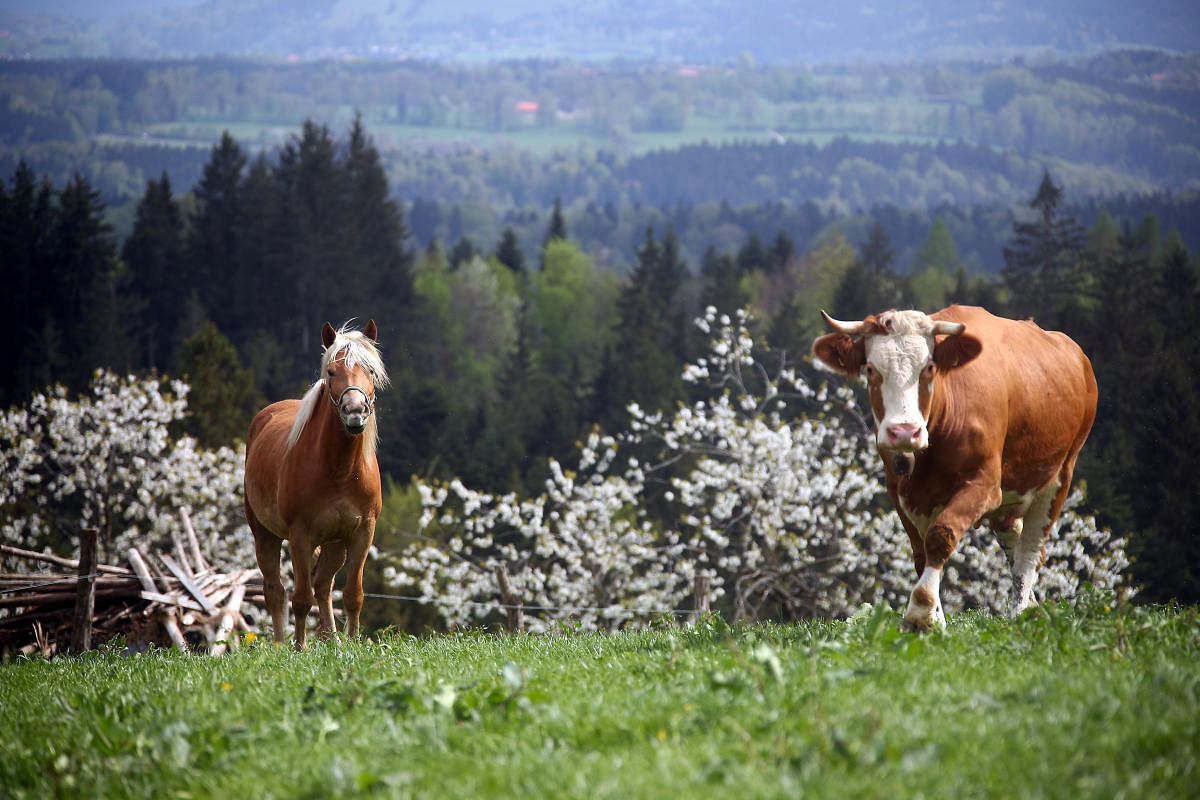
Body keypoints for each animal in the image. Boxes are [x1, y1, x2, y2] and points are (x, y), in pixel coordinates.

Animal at [243, 321, 388, 652]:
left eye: (371, 370)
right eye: (332, 372)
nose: (355, 412)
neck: (339, 470)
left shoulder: (362, 532)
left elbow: (353, 594)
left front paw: (354, 643)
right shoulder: (300, 535)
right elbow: (300, 599)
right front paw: (300, 648)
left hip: (335, 544)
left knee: (323, 585)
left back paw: (331, 639)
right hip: (265, 535)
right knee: (276, 591)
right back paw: (281, 645)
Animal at [816, 303, 1099, 628]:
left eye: (928, 368)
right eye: (871, 369)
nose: (904, 432)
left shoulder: (985, 485)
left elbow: (940, 535)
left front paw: (920, 613)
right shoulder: (900, 490)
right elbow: (920, 553)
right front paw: (936, 619)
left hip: (1061, 472)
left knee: (1030, 551)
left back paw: (1021, 613)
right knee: (1011, 532)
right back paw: (1030, 603)